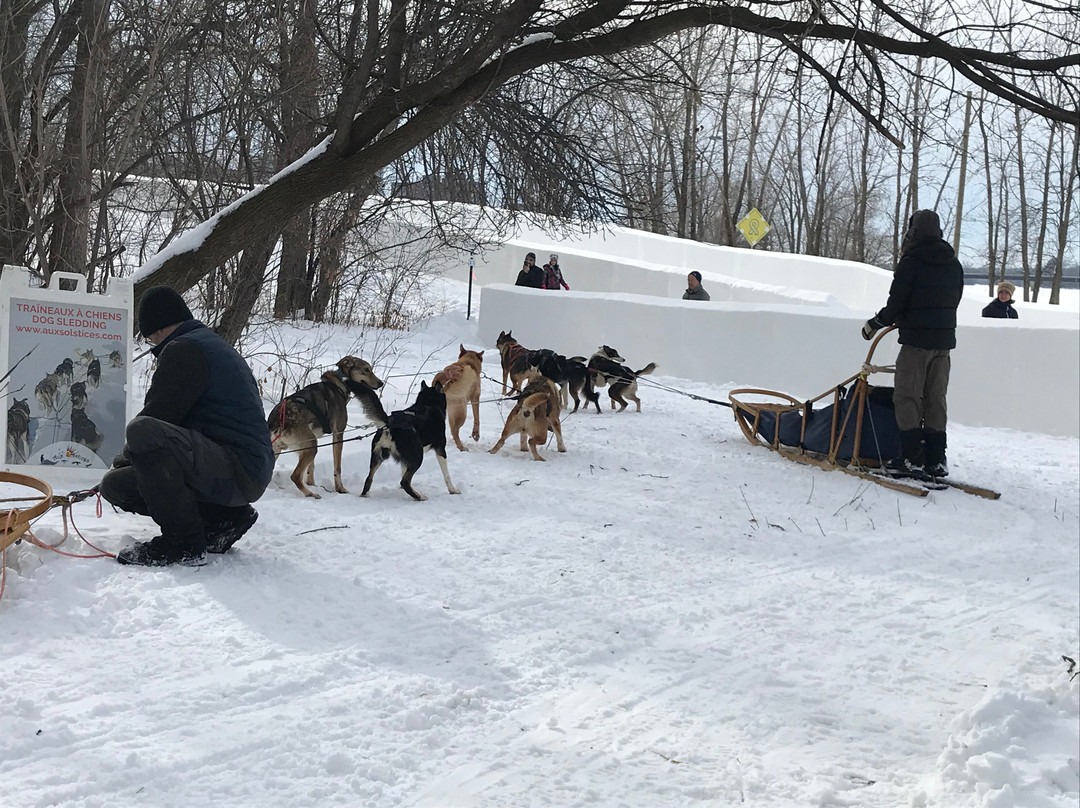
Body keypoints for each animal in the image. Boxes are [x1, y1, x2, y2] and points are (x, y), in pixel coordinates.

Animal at [266, 354, 382, 499]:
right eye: (366, 369)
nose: (381, 383)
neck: (339, 383)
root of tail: (279, 418)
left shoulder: (313, 437)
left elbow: (311, 467)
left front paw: (311, 483)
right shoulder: (338, 434)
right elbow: (337, 467)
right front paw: (340, 489)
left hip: (283, 449)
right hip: (311, 446)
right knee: (295, 476)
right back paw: (311, 494)